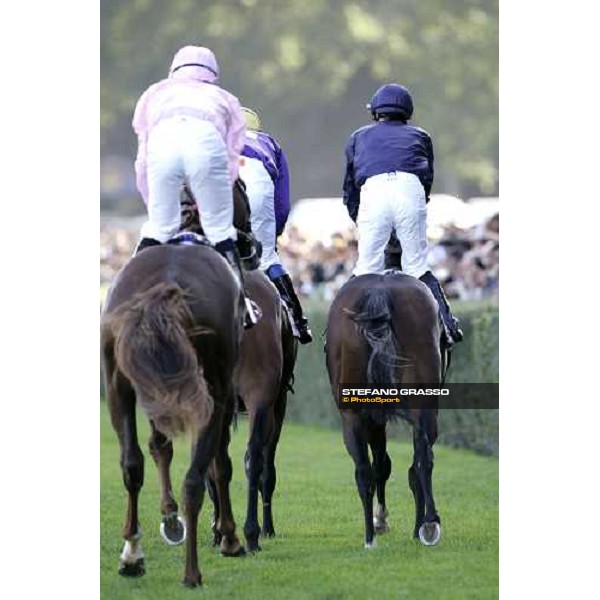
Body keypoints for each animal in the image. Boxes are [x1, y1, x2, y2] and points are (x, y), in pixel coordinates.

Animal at [101, 243, 246, 584]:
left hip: (117, 383)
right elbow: (219, 465)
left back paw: (133, 554)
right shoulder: (217, 393)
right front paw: (227, 536)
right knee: (196, 478)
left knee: (131, 464)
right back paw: (191, 572)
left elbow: (158, 448)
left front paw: (170, 517)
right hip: (213, 387)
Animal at [326, 272, 442, 548]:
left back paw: (370, 537)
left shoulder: (370, 417)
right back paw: (429, 524)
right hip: (425, 405)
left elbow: (380, 465)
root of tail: (380, 289)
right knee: (422, 460)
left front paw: (380, 521)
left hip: (353, 415)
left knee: (364, 472)